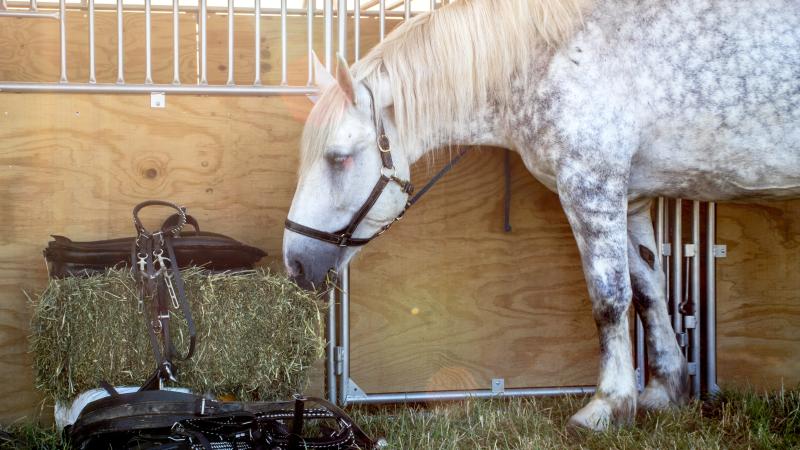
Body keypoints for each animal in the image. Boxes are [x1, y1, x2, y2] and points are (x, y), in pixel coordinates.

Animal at [282, 0, 800, 430]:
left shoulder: (591, 185)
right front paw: (662, 392)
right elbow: (649, 292)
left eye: (337, 157)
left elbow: (610, 299)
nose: (295, 262)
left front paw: (607, 406)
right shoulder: (631, 199)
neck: (552, 57)